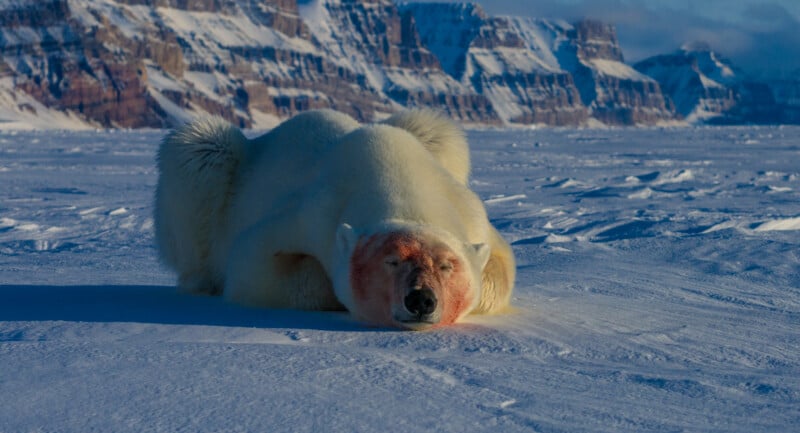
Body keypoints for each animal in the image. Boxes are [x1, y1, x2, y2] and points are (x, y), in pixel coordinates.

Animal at [155, 108, 516, 328]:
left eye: (446, 265)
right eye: (391, 261)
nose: (420, 299)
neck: (394, 173)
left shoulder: (468, 210)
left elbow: (500, 267)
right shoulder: (313, 212)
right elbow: (253, 267)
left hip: (431, 134)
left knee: (434, 126)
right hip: (216, 177)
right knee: (198, 152)